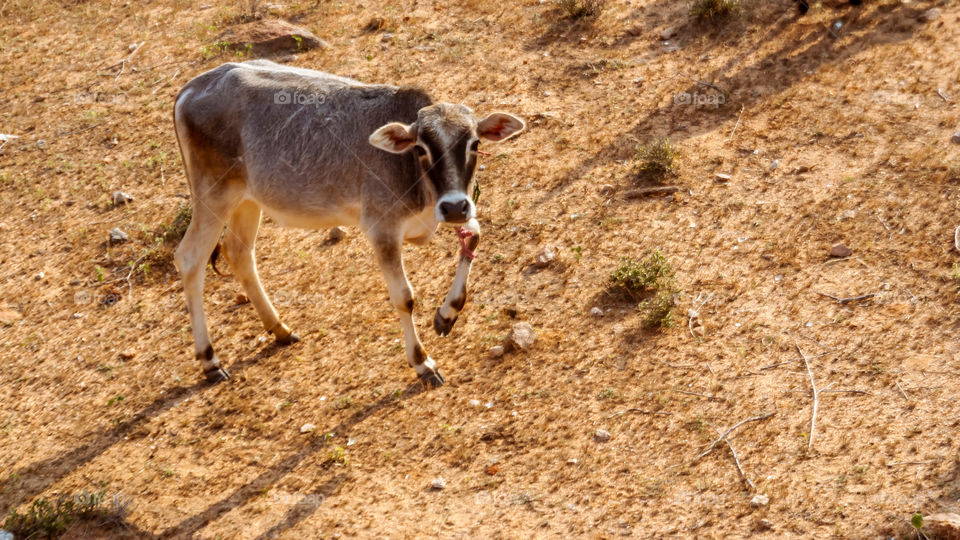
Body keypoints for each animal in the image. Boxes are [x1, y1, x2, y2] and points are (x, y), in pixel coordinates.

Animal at [172, 61, 524, 386]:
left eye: (475, 144)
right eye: (421, 148)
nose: (453, 207)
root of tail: (193, 86)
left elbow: (474, 237)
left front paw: (447, 315)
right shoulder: (382, 228)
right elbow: (404, 297)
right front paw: (422, 362)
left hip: (247, 200)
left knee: (238, 251)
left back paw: (279, 329)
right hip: (213, 196)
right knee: (190, 259)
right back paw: (210, 360)